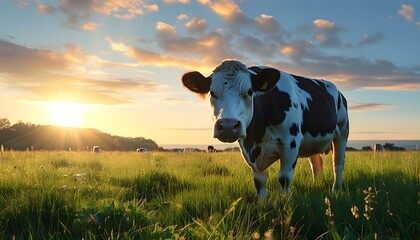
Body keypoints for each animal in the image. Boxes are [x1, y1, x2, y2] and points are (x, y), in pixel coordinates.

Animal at [182, 59, 350, 198]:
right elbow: (259, 181)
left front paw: (284, 202)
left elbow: (284, 178)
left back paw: (336, 190)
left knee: (338, 164)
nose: (228, 126)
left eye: (250, 91)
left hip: (342, 132)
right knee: (316, 164)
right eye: (212, 92)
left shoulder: (291, 142)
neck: (258, 135)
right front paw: (262, 203)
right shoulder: (249, 149)